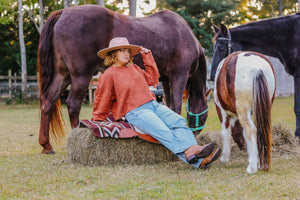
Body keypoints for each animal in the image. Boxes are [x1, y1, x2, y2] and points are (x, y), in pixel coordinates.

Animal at [37, 5, 209, 155]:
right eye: (204, 115)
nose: (196, 135)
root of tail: (63, 12)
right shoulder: (179, 76)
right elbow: (177, 107)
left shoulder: (166, 80)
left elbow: (171, 106)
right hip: (81, 77)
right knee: (73, 104)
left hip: (62, 75)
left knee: (48, 102)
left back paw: (46, 145)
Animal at [211, 13, 300, 141]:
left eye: (221, 48)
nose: (213, 75)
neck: (289, 35)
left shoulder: (297, 74)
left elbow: (297, 107)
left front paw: (297, 134)